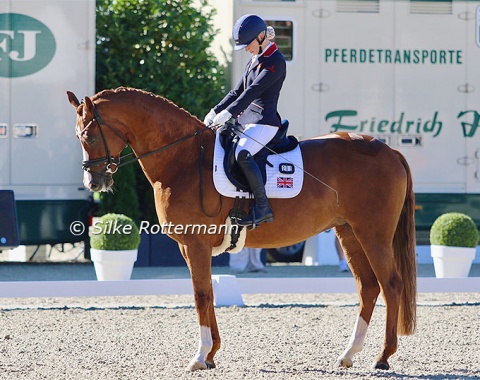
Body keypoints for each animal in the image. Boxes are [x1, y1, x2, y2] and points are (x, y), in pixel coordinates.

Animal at [67, 86, 416, 372]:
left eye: (90, 136)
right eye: (78, 137)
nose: (94, 183)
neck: (182, 159)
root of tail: (388, 150)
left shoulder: (194, 244)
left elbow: (202, 295)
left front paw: (200, 356)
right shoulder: (188, 247)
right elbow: (206, 294)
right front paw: (211, 355)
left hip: (373, 234)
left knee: (391, 284)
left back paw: (383, 357)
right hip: (349, 233)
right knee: (368, 287)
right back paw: (348, 355)